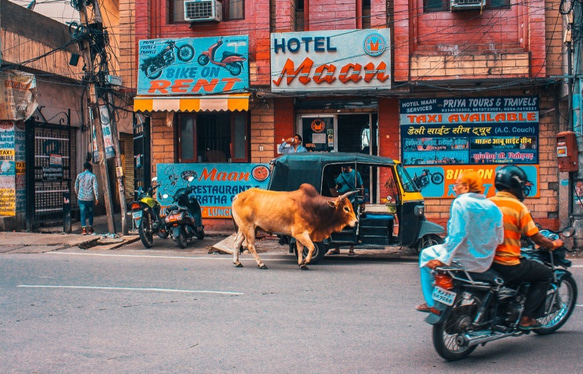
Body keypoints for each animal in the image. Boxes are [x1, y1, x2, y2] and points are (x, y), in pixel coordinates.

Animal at [230, 183, 358, 268]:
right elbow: (311, 247)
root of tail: (238, 196)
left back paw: (237, 262)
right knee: (250, 245)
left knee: (237, 242)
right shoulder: (300, 233)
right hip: (249, 227)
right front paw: (305, 262)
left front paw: (302, 263)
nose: (356, 222)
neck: (314, 207)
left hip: (244, 228)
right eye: (346, 208)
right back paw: (261, 264)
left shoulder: (300, 234)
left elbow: (301, 248)